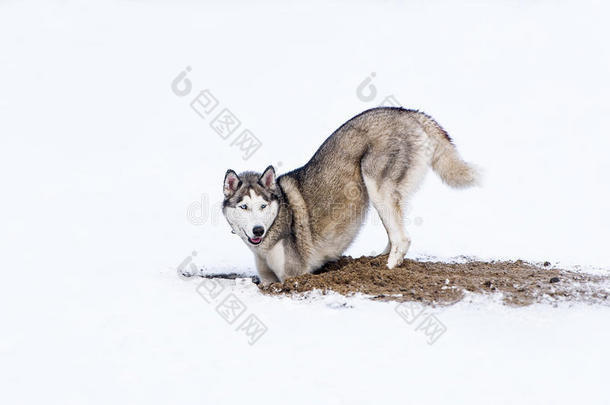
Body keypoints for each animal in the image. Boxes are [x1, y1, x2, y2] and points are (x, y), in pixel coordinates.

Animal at [221, 107, 478, 284]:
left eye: (263, 206)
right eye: (244, 207)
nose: (257, 230)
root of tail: (408, 112)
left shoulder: (294, 275)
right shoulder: (268, 279)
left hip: (376, 185)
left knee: (402, 238)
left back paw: (385, 270)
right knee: (394, 234)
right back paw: (375, 260)